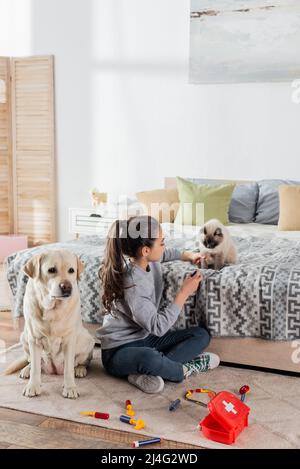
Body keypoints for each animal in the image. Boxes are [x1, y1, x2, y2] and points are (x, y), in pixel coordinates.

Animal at [4, 249, 94, 398]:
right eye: (51, 270)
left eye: (71, 270)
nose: (67, 287)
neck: (52, 308)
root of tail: (54, 370)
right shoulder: (34, 339)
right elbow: (35, 368)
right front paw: (33, 386)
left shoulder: (69, 340)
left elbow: (68, 369)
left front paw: (70, 387)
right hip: (24, 337)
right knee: (32, 361)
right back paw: (26, 370)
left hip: (87, 339)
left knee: (79, 363)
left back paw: (80, 370)